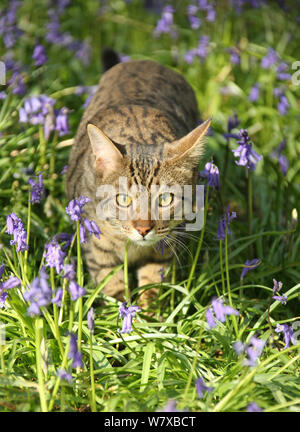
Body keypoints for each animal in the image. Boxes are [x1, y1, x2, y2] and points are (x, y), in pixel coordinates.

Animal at [66, 50, 211, 306]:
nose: (143, 229)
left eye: (165, 199)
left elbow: (153, 285)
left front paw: (148, 313)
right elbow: (112, 288)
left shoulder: (164, 249)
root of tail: (142, 61)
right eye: (123, 199)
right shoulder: (98, 251)